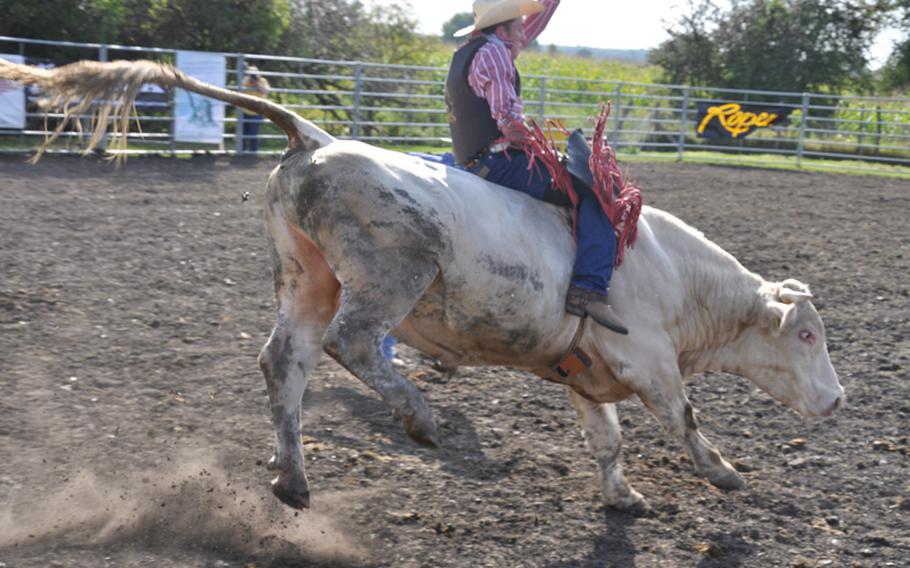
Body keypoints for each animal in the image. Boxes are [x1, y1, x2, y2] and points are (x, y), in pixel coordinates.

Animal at [0, 60, 848, 512]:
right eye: (806, 333)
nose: (838, 401)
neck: (676, 276)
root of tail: (315, 139)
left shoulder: (588, 376)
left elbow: (606, 441)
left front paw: (622, 499)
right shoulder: (649, 361)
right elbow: (685, 419)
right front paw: (726, 475)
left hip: (306, 279)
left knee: (285, 364)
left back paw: (293, 478)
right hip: (392, 272)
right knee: (352, 344)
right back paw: (418, 415)